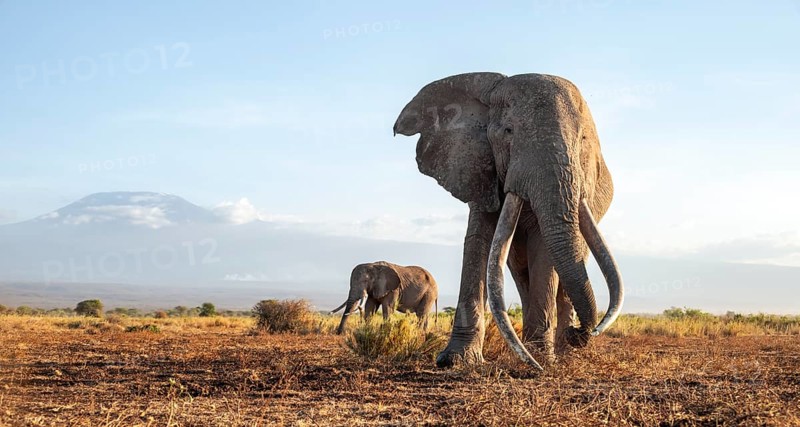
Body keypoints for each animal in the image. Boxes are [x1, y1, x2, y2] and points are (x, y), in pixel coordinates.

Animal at [393, 73, 624, 370]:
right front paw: (455, 360)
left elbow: (544, 250)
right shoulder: (478, 168)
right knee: (521, 272)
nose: (581, 333)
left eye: (582, 138)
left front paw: (542, 360)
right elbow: (478, 239)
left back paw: (564, 353)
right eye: (508, 131)